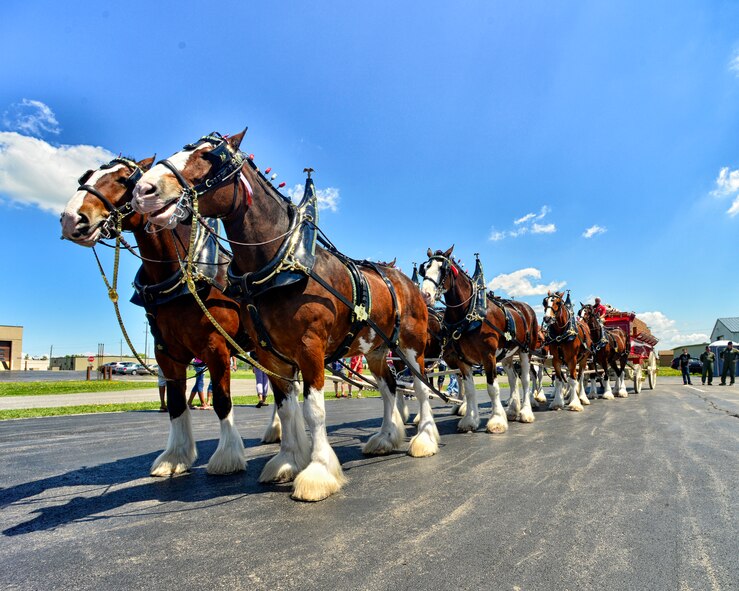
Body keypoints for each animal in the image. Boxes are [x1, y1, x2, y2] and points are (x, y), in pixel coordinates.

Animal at [60, 156, 268, 476]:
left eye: (124, 180)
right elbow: (176, 404)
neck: (180, 276)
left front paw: (228, 457)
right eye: (86, 176)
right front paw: (175, 457)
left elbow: (222, 401)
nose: (71, 219)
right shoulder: (166, 353)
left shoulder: (216, 348)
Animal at [131, 130, 442, 500]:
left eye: (210, 156)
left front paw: (318, 472)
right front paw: (289, 460)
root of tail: (410, 284)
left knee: (420, 388)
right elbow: (287, 406)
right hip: (377, 350)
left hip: (410, 346)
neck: (282, 265)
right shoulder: (271, 354)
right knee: (390, 388)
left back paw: (424, 439)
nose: (143, 190)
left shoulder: (310, 348)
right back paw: (385, 437)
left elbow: (313, 410)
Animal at [422, 246, 536, 434]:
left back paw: (526, 412)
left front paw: (497, 421)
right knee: (513, 378)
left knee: (526, 379)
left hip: (525, 350)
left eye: (443, 269)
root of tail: (525, 308)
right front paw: (470, 420)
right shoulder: (462, 359)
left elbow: (492, 388)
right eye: (424, 268)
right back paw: (513, 410)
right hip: (507, 355)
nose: (425, 295)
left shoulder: (488, 355)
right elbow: (469, 390)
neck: (470, 312)